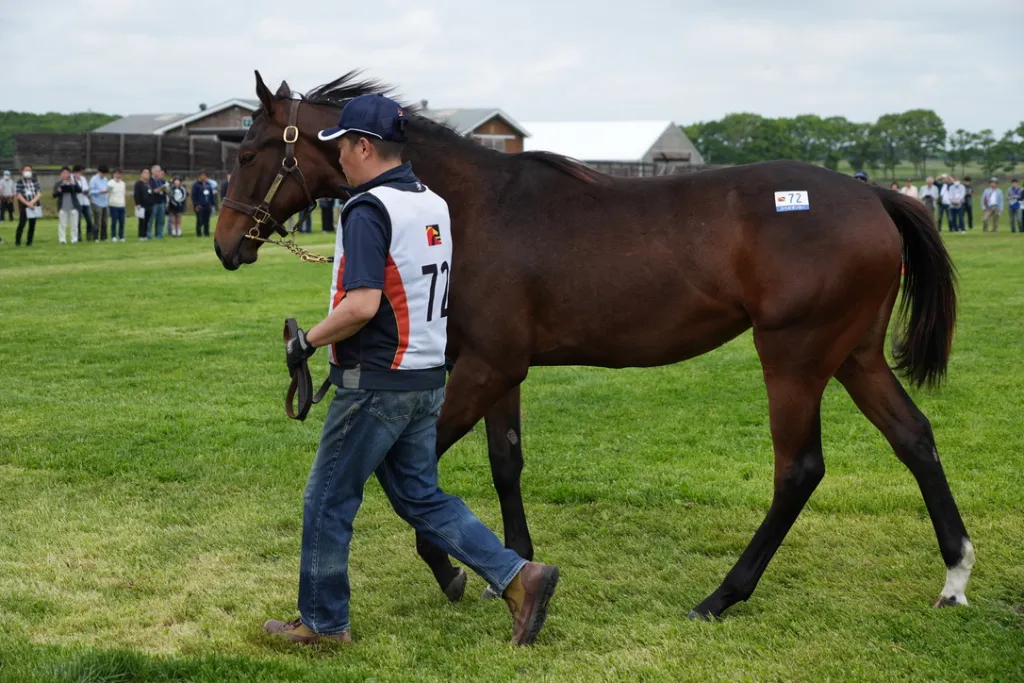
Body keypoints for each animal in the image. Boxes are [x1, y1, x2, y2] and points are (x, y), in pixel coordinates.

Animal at [214, 71, 974, 620]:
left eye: (250, 152)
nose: (225, 243)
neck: (470, 207)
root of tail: (872, 195)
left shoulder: (485, 368)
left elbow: (419, 474)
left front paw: (450, 569)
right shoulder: (499, 370)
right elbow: (506, 462)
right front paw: (508, 569)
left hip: (795, 356)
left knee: (799, 470)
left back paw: (722, 595)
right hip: (855, 357)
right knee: (915, 437)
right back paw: (956, 573)